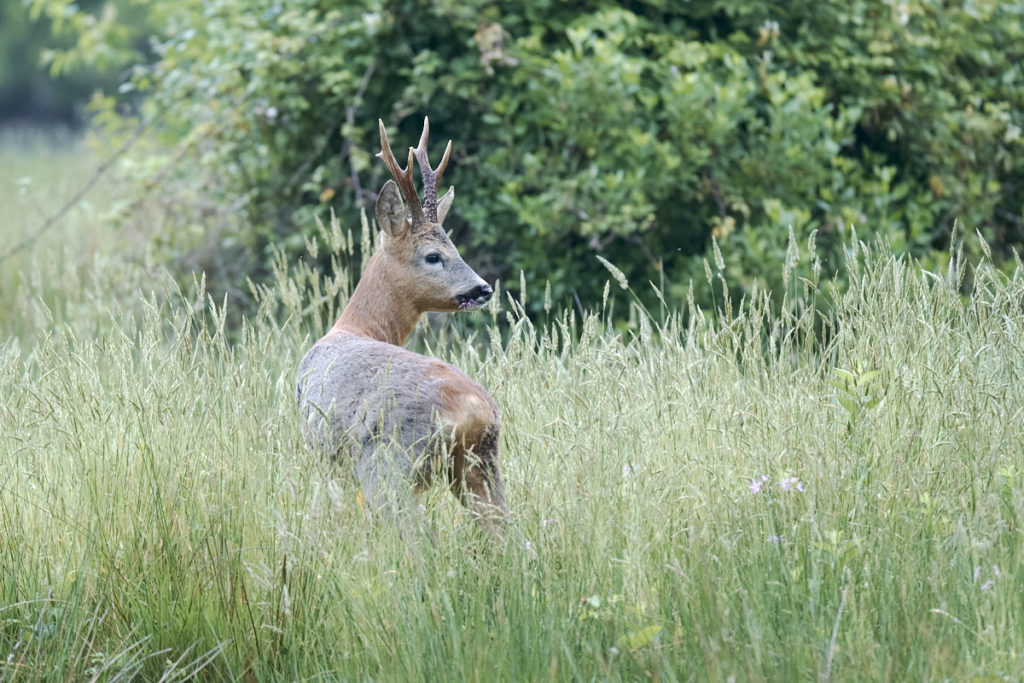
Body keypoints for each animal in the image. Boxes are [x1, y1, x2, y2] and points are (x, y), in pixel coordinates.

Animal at [296, 116, 507, 532]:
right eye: (434, 255)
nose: (483, 288)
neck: (352, 326)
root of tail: (474, 411)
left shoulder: (322, 454)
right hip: (481, 465)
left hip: (389, 464)